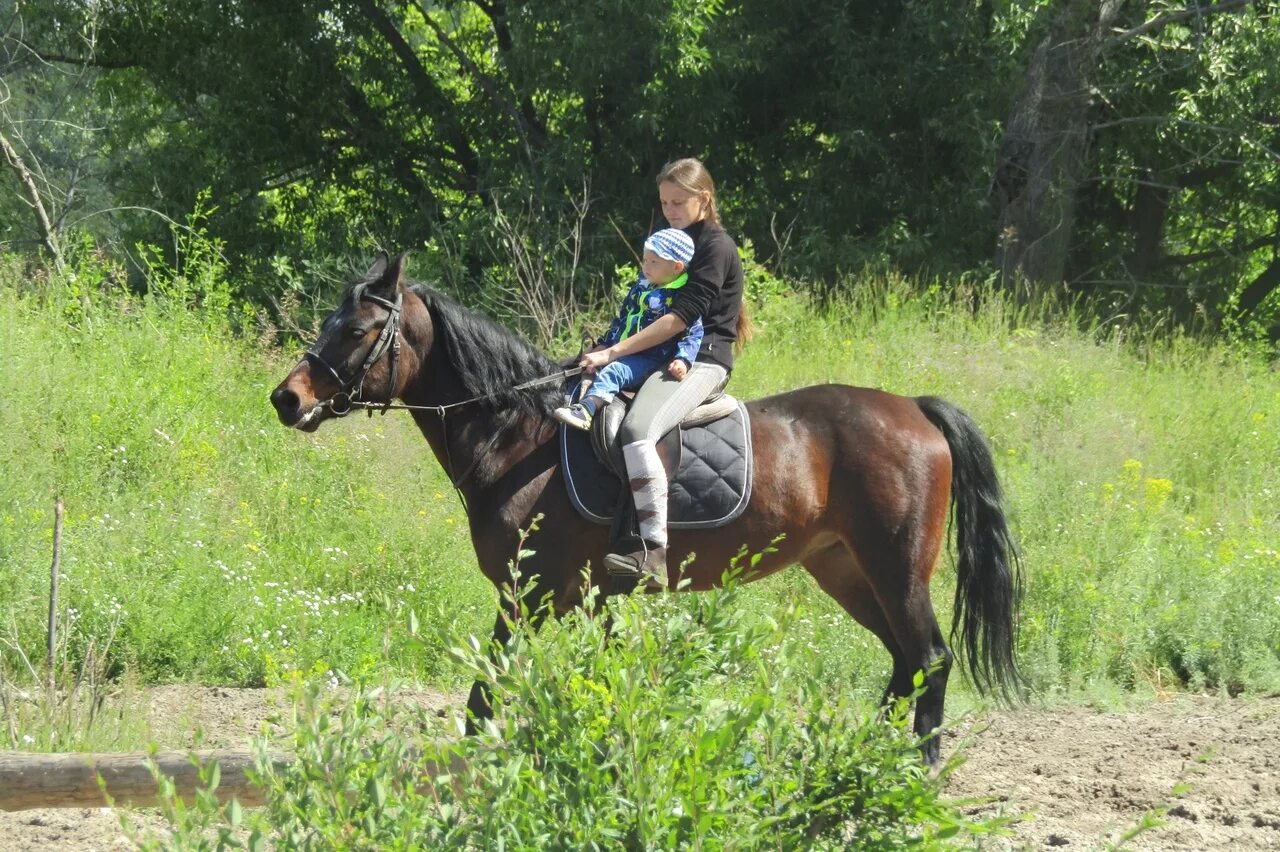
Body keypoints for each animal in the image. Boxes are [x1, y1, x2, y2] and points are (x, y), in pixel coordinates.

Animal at [267, 253, 1018, 762]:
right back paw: (860, 757)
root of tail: (913, 408)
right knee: (904, 661)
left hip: (896, 568)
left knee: (930, 658)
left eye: (357, 330)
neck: (520, 437)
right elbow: (599, 680)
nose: (285, 398)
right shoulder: (588, 597)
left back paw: (913, 768)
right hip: (843, 568)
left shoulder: (526, 592)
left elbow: (488, 688)